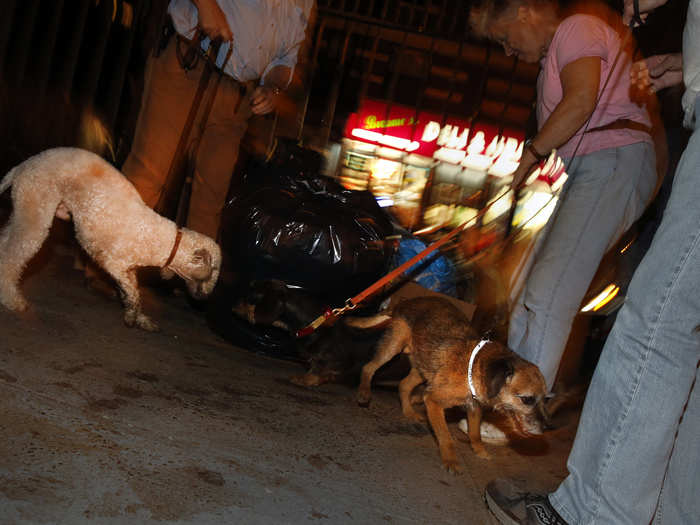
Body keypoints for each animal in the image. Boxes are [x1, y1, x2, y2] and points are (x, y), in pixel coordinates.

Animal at [0, 145, 221, 330]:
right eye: (214, 270)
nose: (205, 298)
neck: (166, 242)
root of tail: (22, 166)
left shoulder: (129, 270)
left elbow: (133, 291)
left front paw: (140, 318)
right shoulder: (113, 263)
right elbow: (133, 293)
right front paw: (132, 317)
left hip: (24, 212)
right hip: (35, 213)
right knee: (11, 259)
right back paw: (12, 300)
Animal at [352, 296, 548, 472]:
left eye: (546, 399)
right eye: (527, 399)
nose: (548, 428)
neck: (473, 368)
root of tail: (403, 302)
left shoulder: (474, 407)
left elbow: (475, 433)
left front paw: (480, 450)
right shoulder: (433, 401)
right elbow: (445, 436)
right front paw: (451, 460)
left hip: (422, 368)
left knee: (404, 385)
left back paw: (409, 411)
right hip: (393, 347)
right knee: (368, 368)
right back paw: (364, 393)